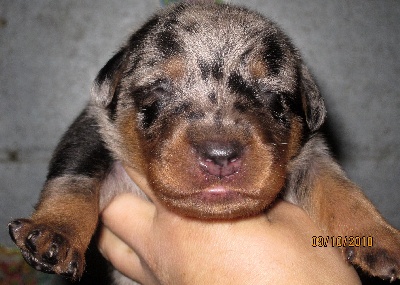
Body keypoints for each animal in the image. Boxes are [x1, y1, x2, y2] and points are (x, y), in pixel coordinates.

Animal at [7, 1, 398, 282]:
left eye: (275, 100)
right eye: (158, 91)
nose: (220, 155)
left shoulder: (311, 154)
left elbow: (340, 189)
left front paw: (381, 239)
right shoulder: (94, 127)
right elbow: (74, 178)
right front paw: (53, 233)